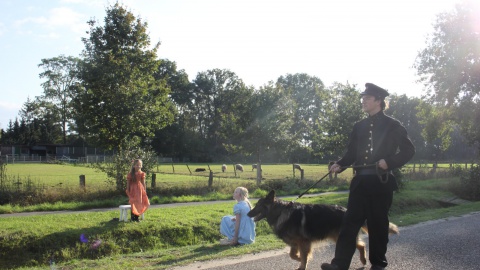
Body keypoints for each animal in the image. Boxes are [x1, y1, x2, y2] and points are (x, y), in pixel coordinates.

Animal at [248, 190, 398, 270]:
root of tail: (346, 210)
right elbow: (293, 255)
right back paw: (363, 260)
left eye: (258, 205)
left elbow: (303, 256)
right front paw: (299, 259)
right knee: (361, 245)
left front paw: (302, 264)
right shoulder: (295, 243)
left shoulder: (303, 242)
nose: (248, 214)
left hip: (340, 236)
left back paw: (364, 260)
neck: (280, 212)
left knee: (360, 245)